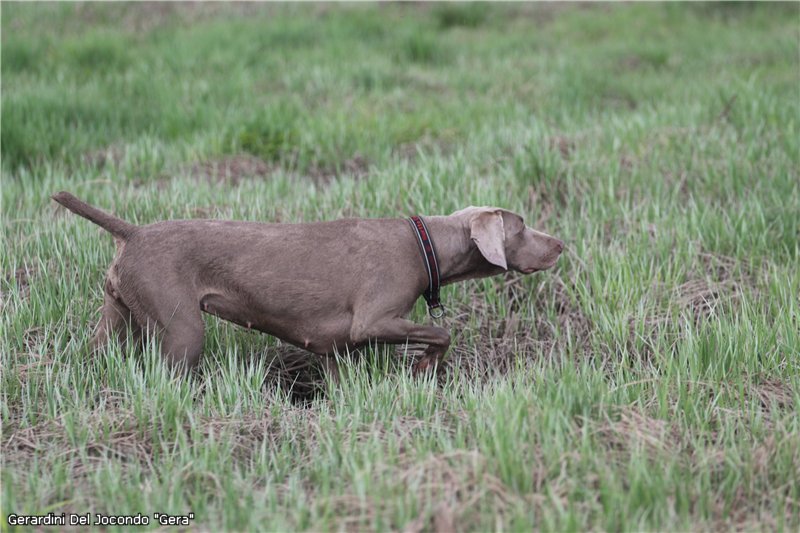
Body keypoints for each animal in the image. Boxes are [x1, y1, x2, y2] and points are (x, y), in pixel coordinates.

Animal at [53, 191, 564, 374]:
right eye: (521, 226)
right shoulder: (373, 320)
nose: (560, 244)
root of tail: (132, 232)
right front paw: (423, 365)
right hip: (181, 330)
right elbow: (441, 331)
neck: (426, 244)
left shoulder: (337, 348)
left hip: (117, 316)